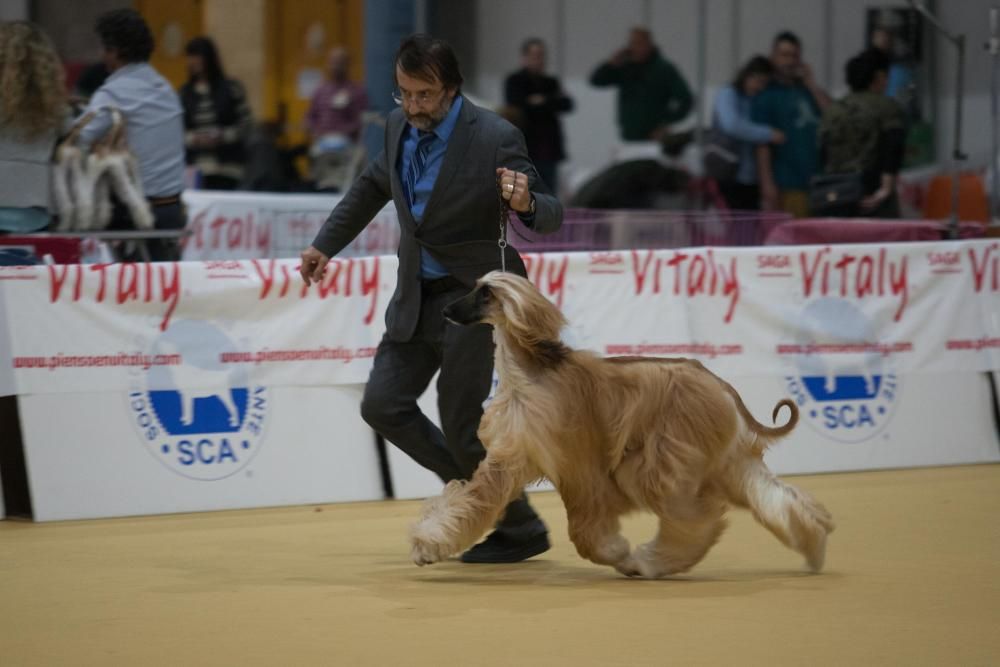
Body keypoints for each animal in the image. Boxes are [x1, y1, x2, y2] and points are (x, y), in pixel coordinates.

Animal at [408, 272, 836, 580]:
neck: (528, 375)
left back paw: (649, 562)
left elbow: (585, 529)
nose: (446, 311)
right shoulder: (508, 458)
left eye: (485, 294)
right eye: (474, 289)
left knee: (697, 518)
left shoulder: (578, 466)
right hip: (727, 460)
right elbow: (469, 501)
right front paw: (427, 544)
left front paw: (615, 552)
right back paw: (813, 545)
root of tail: (719, 384)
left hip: (665, 459)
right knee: (776, 499)